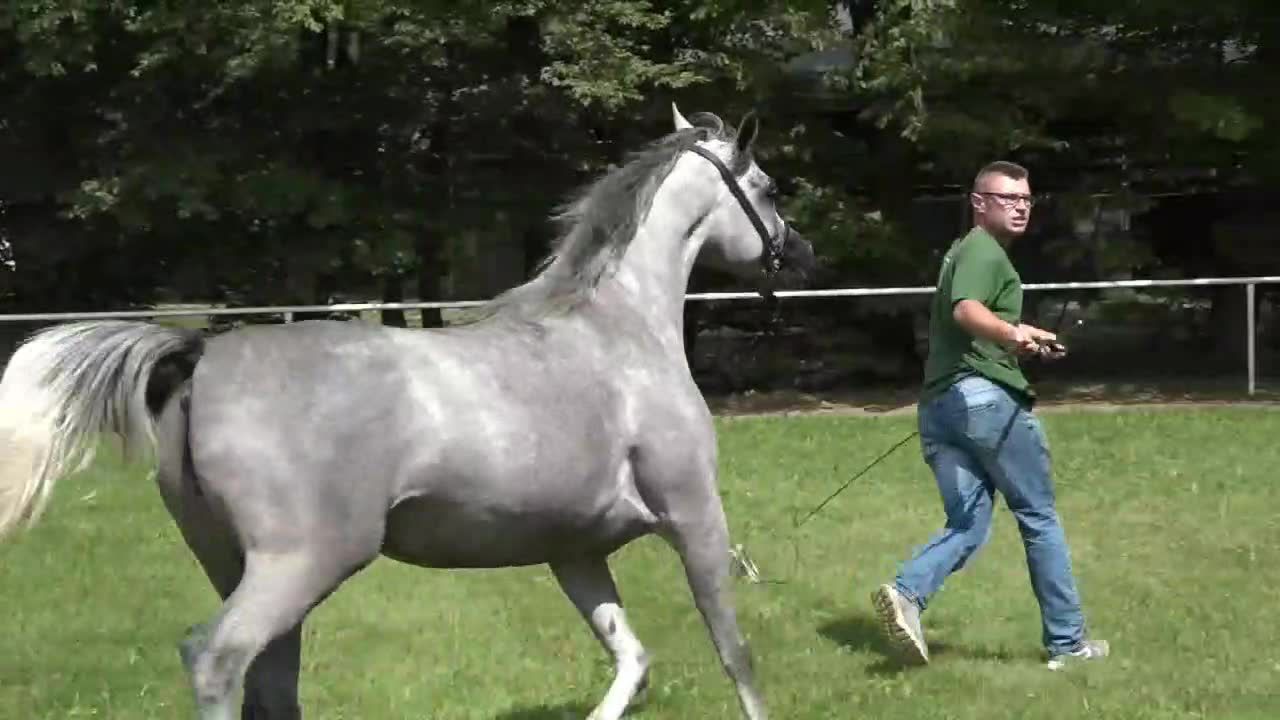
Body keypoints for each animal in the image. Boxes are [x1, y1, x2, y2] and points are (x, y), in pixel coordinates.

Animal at [0, 105, 814, 717]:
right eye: (769, 187)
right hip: (304, 564)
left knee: (271, 681)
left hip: (235, 564)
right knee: (216, 659)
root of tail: (200, 356)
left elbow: (631, 659)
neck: (618, 329)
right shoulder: (695, 518)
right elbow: (734, 653)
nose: (801, 256)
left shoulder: (575, 549)